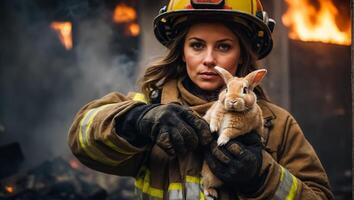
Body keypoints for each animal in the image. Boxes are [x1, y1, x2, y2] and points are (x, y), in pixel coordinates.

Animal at [202, 66, 266, 198]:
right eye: (226, 89)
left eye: (245, 90)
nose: (232, 100)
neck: (232, 111)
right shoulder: (216, 110)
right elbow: (214, 118)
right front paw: (212, 129)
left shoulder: (239, 129)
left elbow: (229, 132)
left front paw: (221, 141)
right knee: (205, 184)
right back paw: (210, 192)